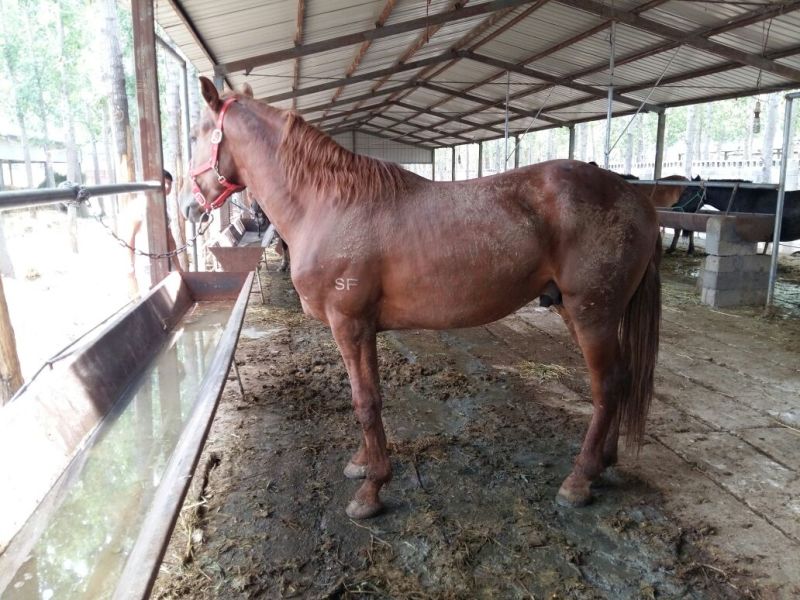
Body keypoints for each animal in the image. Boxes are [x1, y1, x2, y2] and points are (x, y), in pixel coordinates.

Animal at [184, 77, 661, 519]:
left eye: (196, 133)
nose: (191, 209)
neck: (330, 205)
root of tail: (633, 195)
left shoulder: (350, 325)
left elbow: (365, 401)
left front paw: (372, 490)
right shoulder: (362, 329)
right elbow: (367, 398)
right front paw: (363, 464)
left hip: (592, 313)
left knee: (607, 385)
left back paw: (579, 478)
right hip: (579, 311)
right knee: (619, 379)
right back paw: (605, 464)